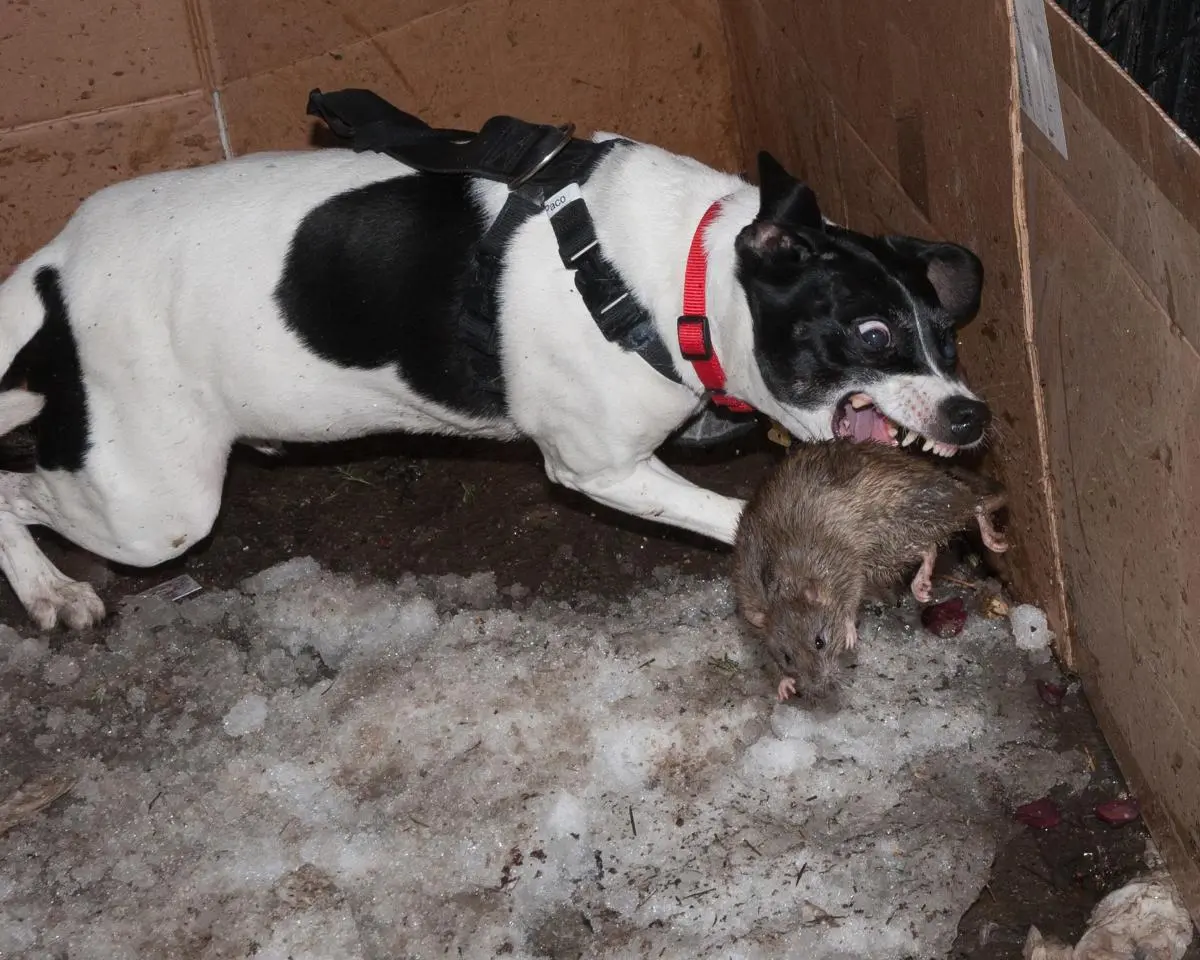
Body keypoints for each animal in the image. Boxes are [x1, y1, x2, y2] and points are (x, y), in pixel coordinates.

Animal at [0, 105, 988, 628]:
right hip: (152, 509)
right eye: (870, 333)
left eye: (947, 336)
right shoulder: (601, 467)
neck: (683, 275)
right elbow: (737, 515)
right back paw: (50, 589)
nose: (971, 416)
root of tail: (54, 265)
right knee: (13, 493)